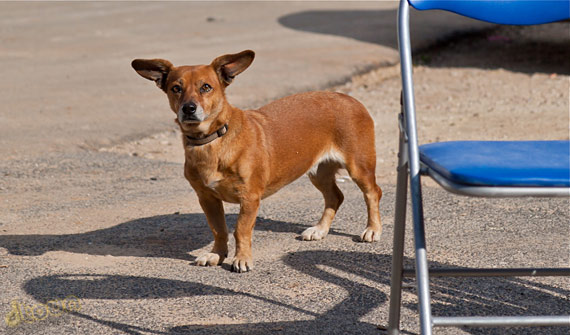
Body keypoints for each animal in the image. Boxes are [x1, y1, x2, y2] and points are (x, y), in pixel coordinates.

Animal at [132, 50, 382, 272]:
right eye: (176, 88)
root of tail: (349, 98)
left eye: (206, 87)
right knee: (335, 197)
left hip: (358, 167)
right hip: (317, 171)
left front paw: (241, 259)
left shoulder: (249, 198)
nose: (188, 108)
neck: (213, 141)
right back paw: (319, 230)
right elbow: (219, 230)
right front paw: (217, 254)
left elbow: (240, 230)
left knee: (373, 193)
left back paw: (372, 229)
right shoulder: (207, 198)